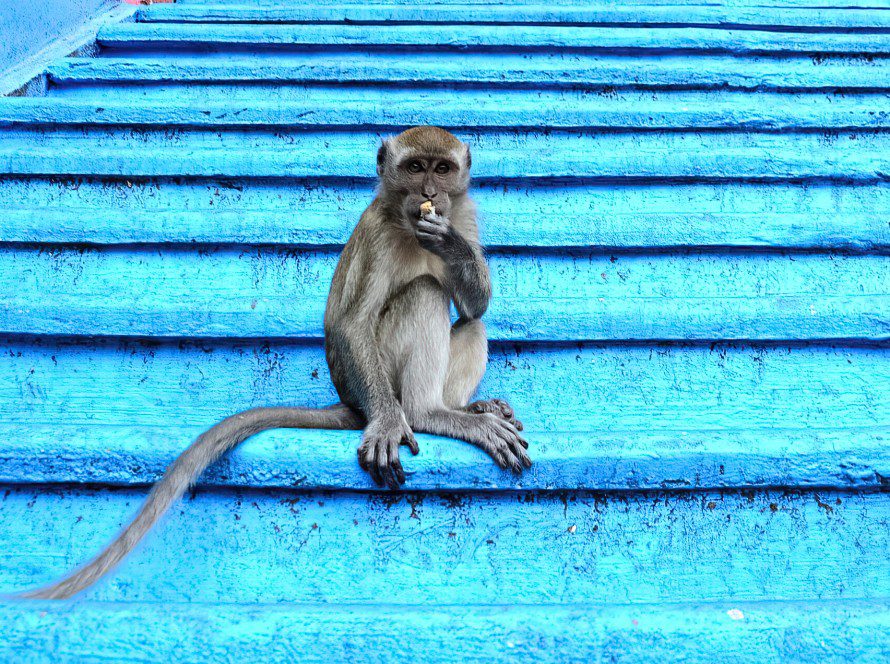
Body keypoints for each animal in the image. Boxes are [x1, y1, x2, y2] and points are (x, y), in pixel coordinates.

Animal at [19, 125, 531, 600]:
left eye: (442, 170)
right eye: (415, 168)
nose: (430, 193)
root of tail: (350, 401)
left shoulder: (464, 215)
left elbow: (475, 305)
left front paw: (450, 246)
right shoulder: (380, 232)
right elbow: (351, 324)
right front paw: (390, 422)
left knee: (469, 321)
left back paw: (464, 409)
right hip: (378, 378)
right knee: (425, 294)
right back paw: (428, 414)